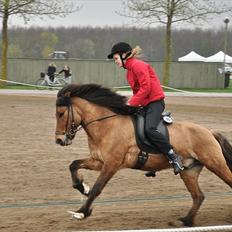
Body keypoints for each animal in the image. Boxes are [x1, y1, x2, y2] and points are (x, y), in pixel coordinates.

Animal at [55, 84, 232, 227]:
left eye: (61, 113)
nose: (59, 140)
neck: (107, 125)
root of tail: (208, 131)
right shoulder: (98, 161)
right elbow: (74, 164)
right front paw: (82, 187)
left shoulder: (112, 164)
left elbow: (97, 188)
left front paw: (82, 212)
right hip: (189, 171)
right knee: (198, 196)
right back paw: (186, 221)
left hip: (215, 163)